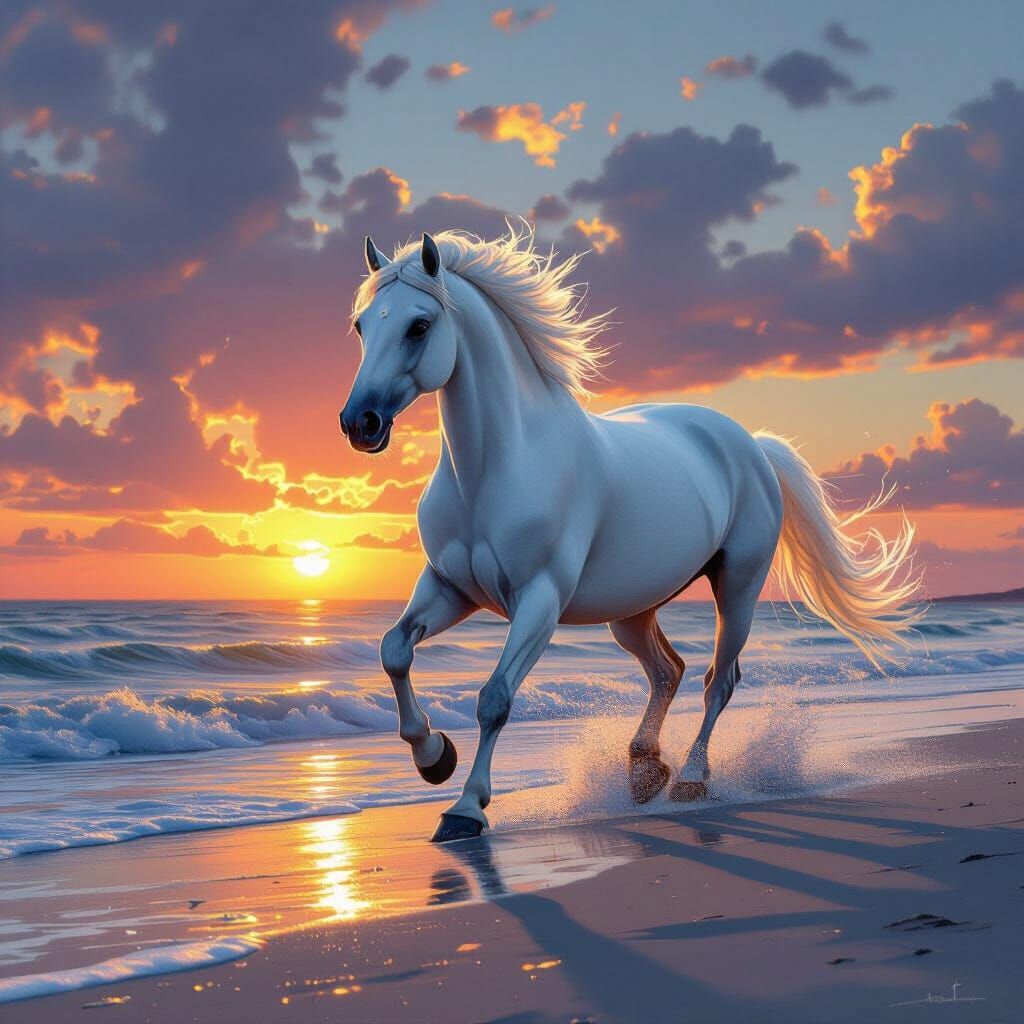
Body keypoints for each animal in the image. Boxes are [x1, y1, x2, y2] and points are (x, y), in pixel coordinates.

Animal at [339, 226, 920, 843]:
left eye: (419, 325)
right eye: (362, 325)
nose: (360, 423)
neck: (498, 467)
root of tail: (752, 444)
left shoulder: (539, 601)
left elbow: (495, 697)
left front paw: (466, 808)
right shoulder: (451, 589)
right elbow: (394, 649)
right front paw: (434, 757)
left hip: (738, 587)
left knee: (718, 679)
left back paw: (689, 778)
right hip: (632, 610)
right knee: (669, 670)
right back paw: (644, 770)